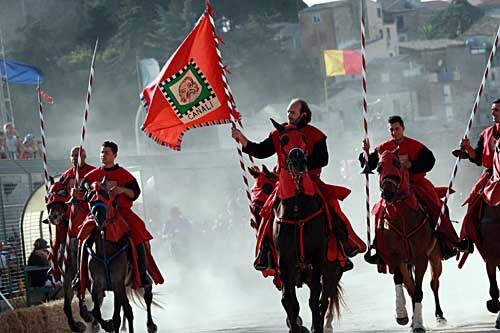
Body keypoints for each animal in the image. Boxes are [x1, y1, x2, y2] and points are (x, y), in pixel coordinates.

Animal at [45, 175, 92, 330]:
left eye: (62, 193)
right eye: (49, 197)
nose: (52, 217)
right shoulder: (67, 277)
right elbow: (67, 304)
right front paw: (77, 324)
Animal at [82, 178, 157, 330]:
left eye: (106, 195)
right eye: (89, 197)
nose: (99, 217)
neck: (105, 251)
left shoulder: (118, 285)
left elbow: (116, 316)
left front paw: (111, 324)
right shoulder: (96, 286)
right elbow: (95, 311)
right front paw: (106, 325)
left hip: (137, 282)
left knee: (147, 296)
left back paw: (150, 325)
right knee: (128, 311)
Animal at [376, 150, 448, 332]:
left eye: (397, 164)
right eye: (379, 167)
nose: (388, 194)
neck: (403, 217)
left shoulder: (421, 257)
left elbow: (419, 290)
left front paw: (418, 325)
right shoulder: (395, 256)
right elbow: (400, 281)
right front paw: (402, 315)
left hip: (435, 257)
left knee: (434, 283)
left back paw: (439, 315)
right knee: (410, 287)